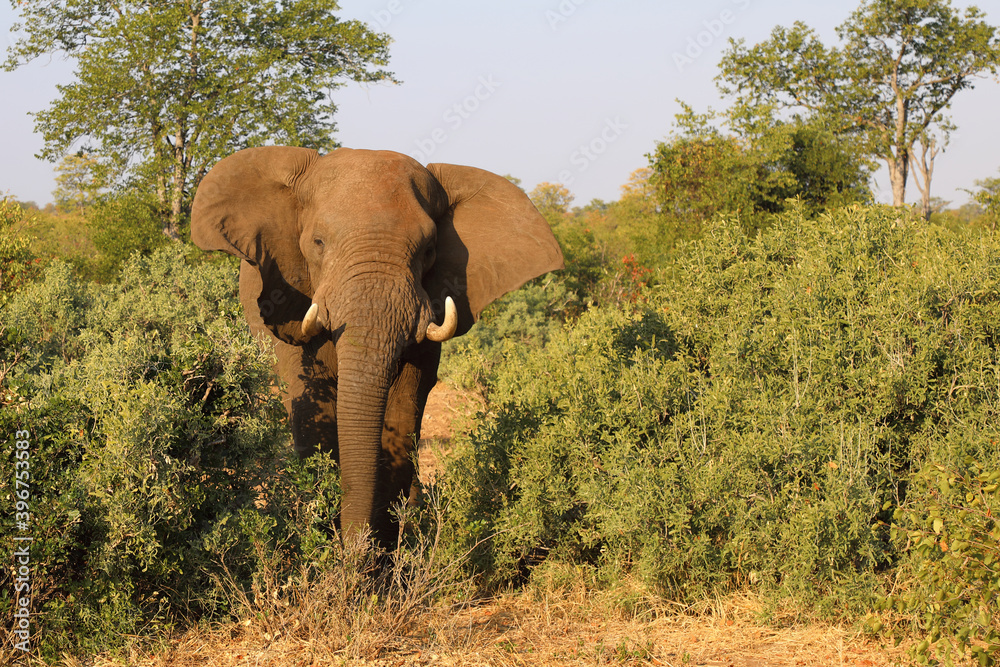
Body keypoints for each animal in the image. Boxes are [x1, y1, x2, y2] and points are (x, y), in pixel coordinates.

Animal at [190, 146, 564, 548]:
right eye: (318, 243)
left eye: (429, 250)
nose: (353, 548)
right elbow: (313, 407)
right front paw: (328, 548)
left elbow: (401, 412)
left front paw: (376, 557)